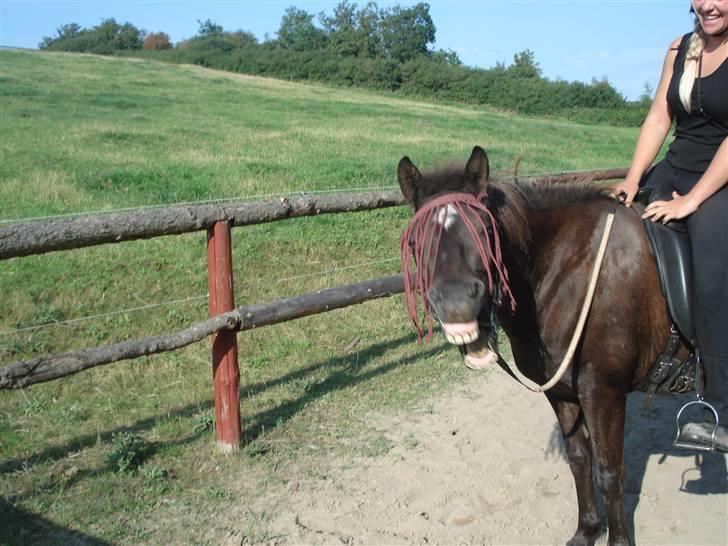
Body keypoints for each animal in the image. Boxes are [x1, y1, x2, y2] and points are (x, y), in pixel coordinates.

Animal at [396, 146, 672, 544]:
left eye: (485, 231)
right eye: (417, 242)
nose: (457, 302)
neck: (574, 269)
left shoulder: (604, 392)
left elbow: (610, 473)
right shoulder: (560, 390)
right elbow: (579, 459)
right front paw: (587, 530)